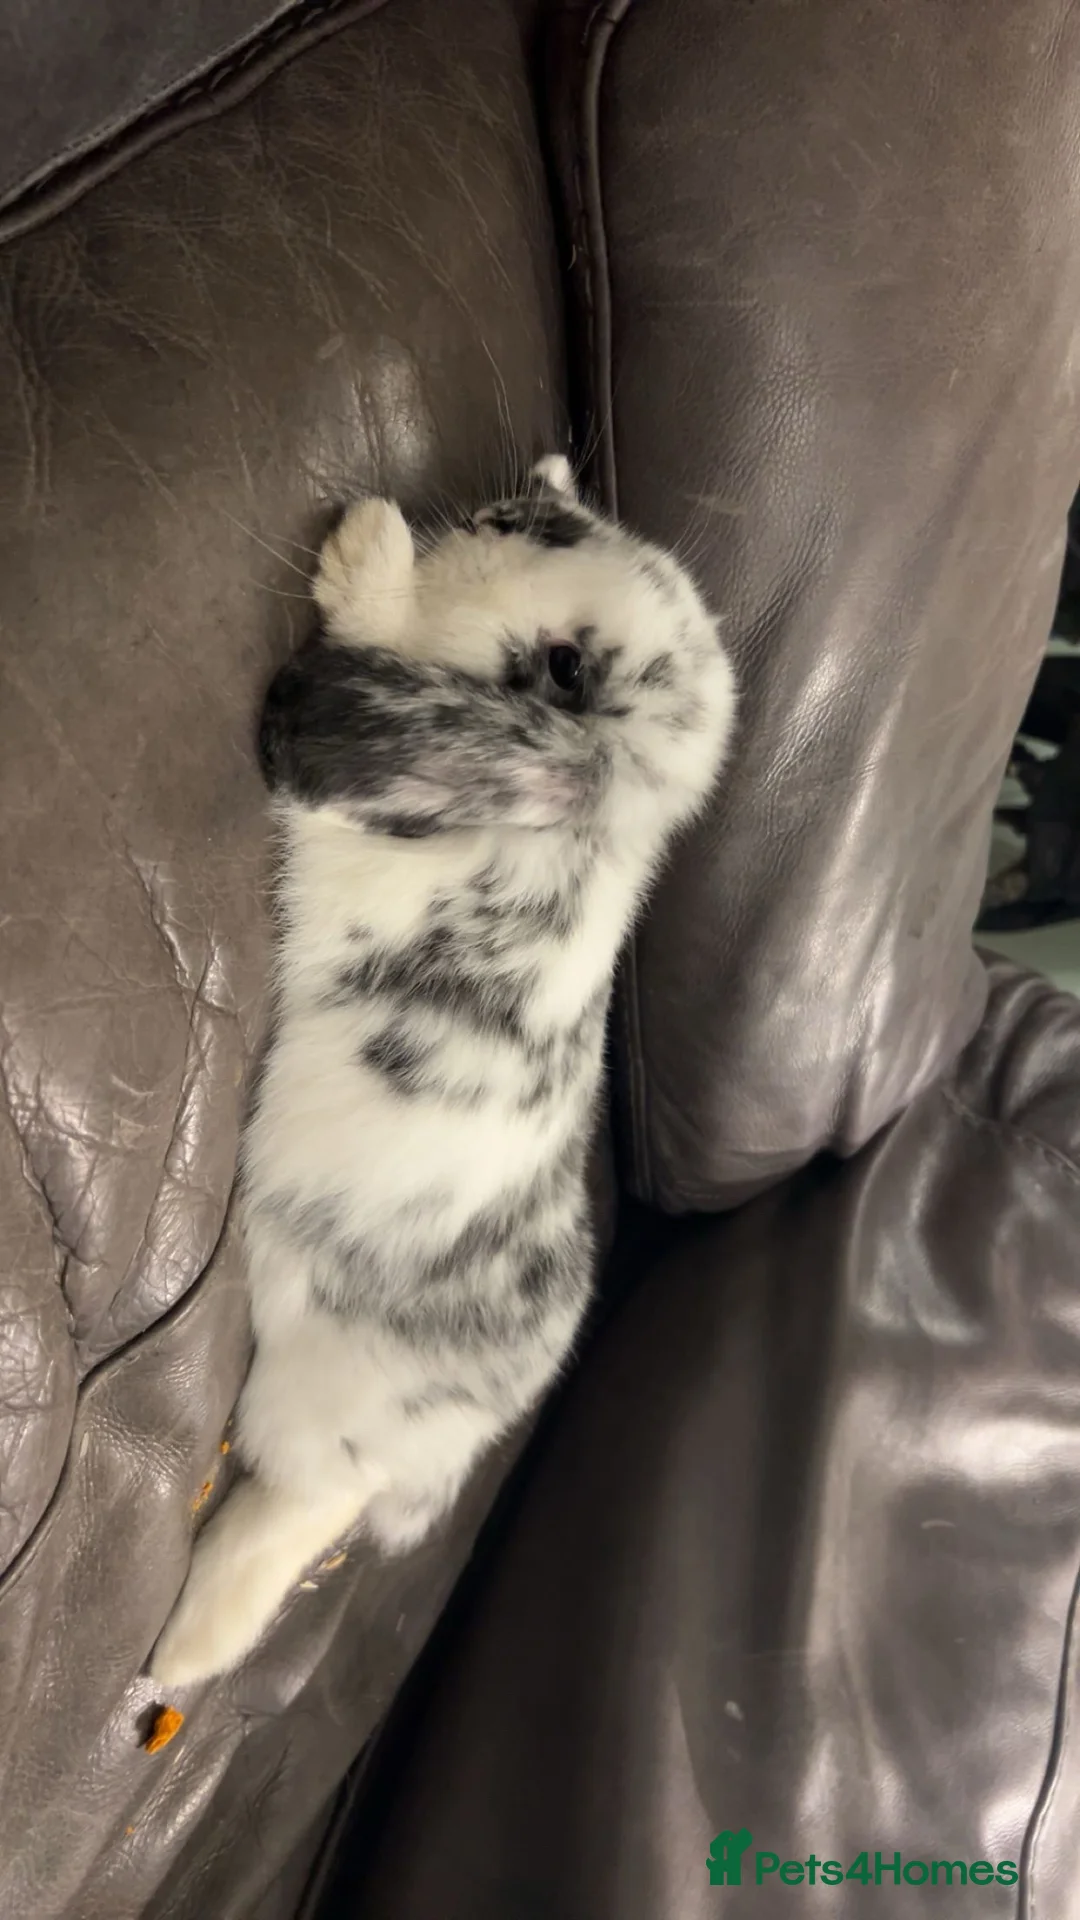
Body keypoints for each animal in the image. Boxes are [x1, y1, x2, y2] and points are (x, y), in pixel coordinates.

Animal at [150, 455, 736, 1685]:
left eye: (567, 667)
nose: (508, 502)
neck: (577, 833)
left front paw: (365, 554)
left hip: (312, 1410)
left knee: (297, 1508)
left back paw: (182, 1651)